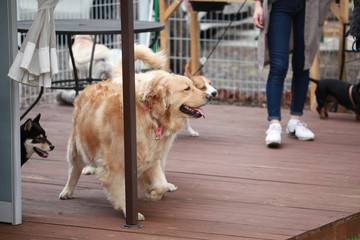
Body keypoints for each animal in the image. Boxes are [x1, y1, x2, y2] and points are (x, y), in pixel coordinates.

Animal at [59, 51, 211, 220]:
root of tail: (89, 86)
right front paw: (131, 212)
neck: (150, 115)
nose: (210, 96)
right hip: (76, 148)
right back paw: (68, 190)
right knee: (74, 170)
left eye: (194, 86)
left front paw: (152, 194)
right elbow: (122, 191)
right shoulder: (115, 166)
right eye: (187, 88)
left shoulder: (150, 158)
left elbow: (160, 183)